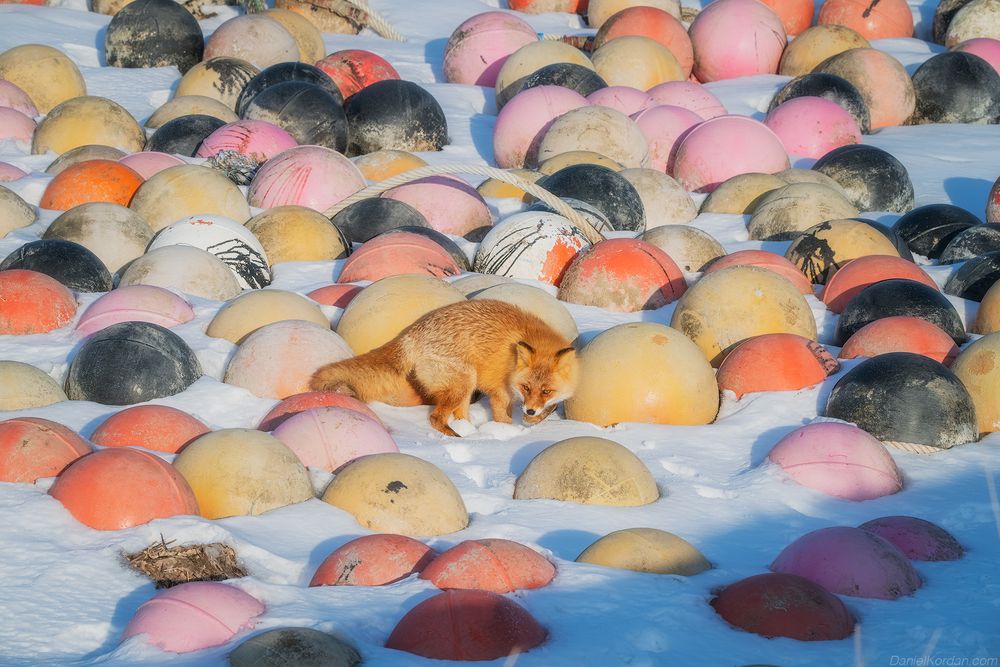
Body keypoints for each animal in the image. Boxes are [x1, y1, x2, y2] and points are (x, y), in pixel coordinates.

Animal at [310, 299, 579, 437]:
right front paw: (508, 432)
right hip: (463, 382)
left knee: (458, 415)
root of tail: (411, 334)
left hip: (465, 388)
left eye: (546, 391)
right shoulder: (500, 391)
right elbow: (503, 417)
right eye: (526, 387)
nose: (531, 410)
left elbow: (547, 408)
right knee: (436, 417)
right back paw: (456, 437)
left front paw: (532, 419)